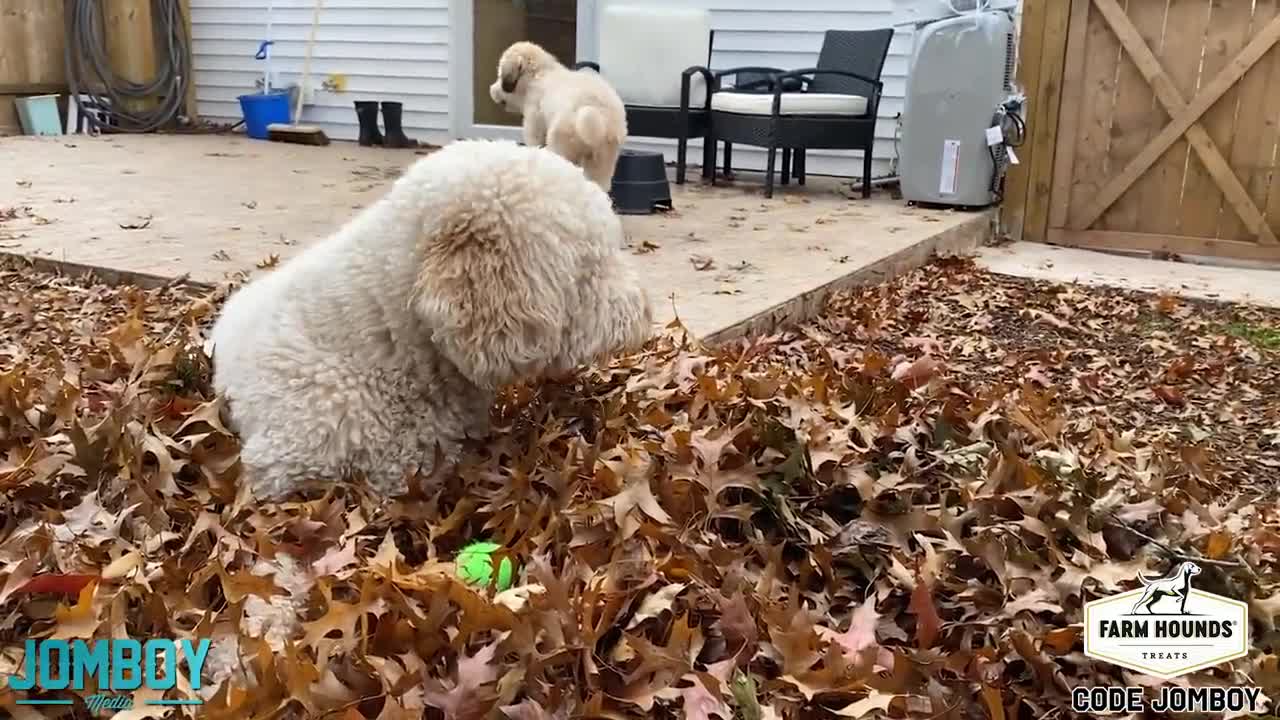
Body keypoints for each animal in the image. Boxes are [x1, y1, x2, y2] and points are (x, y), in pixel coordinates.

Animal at [486, 40, 627, 189]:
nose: (491, 89)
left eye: (500, 76)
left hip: (561, 144)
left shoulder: (534, 122)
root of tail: (599, 114)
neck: (539, 74)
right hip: (603, 160)